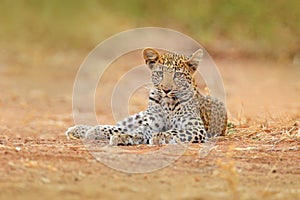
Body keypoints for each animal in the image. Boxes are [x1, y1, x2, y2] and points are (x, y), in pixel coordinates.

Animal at [64, 47, 226, 146]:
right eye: (160, 73)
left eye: (177, 75)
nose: (166, 89)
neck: (168, 104)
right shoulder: (150, 124)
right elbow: (137, 131)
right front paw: (125, 137)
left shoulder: (196, 128)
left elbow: (175, 131)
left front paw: (161, 137)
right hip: (138, 116)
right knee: (119, 126)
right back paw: (84, 130)